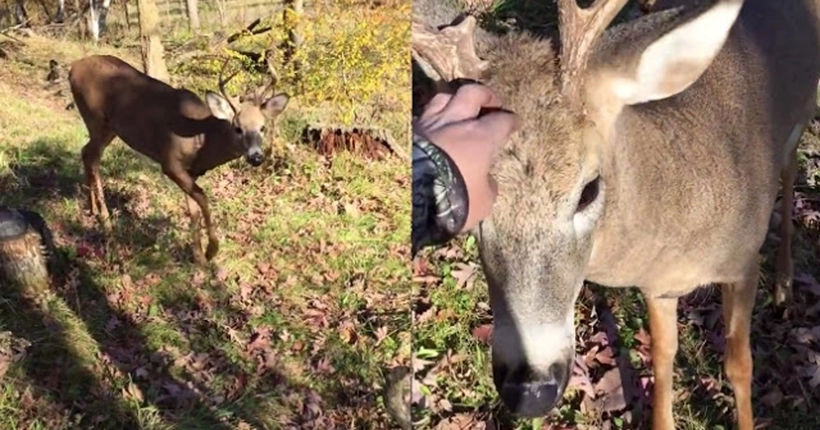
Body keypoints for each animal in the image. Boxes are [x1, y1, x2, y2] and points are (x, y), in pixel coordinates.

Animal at [69, 54, 292, 266]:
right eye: (238, 128)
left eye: (263, 127)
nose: (257, 157)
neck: (203, 139)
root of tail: (73, 67)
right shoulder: (170, 162)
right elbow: (202, 197)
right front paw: (211, 251)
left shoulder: (191, 171)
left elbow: (193, 209)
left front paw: (199, 259)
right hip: (96, 118)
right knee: (91, 156)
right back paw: (105, 220)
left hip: (108, 128)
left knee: (87, 153)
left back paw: (92, 209)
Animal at [416, 0, 820, 428]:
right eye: (474, 205)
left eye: (589, 189)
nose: (530, 390)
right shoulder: (658, 288)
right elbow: (663, 358)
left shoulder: (742, 264)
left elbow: (739, 365)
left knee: (790, 167)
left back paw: (784, 286)